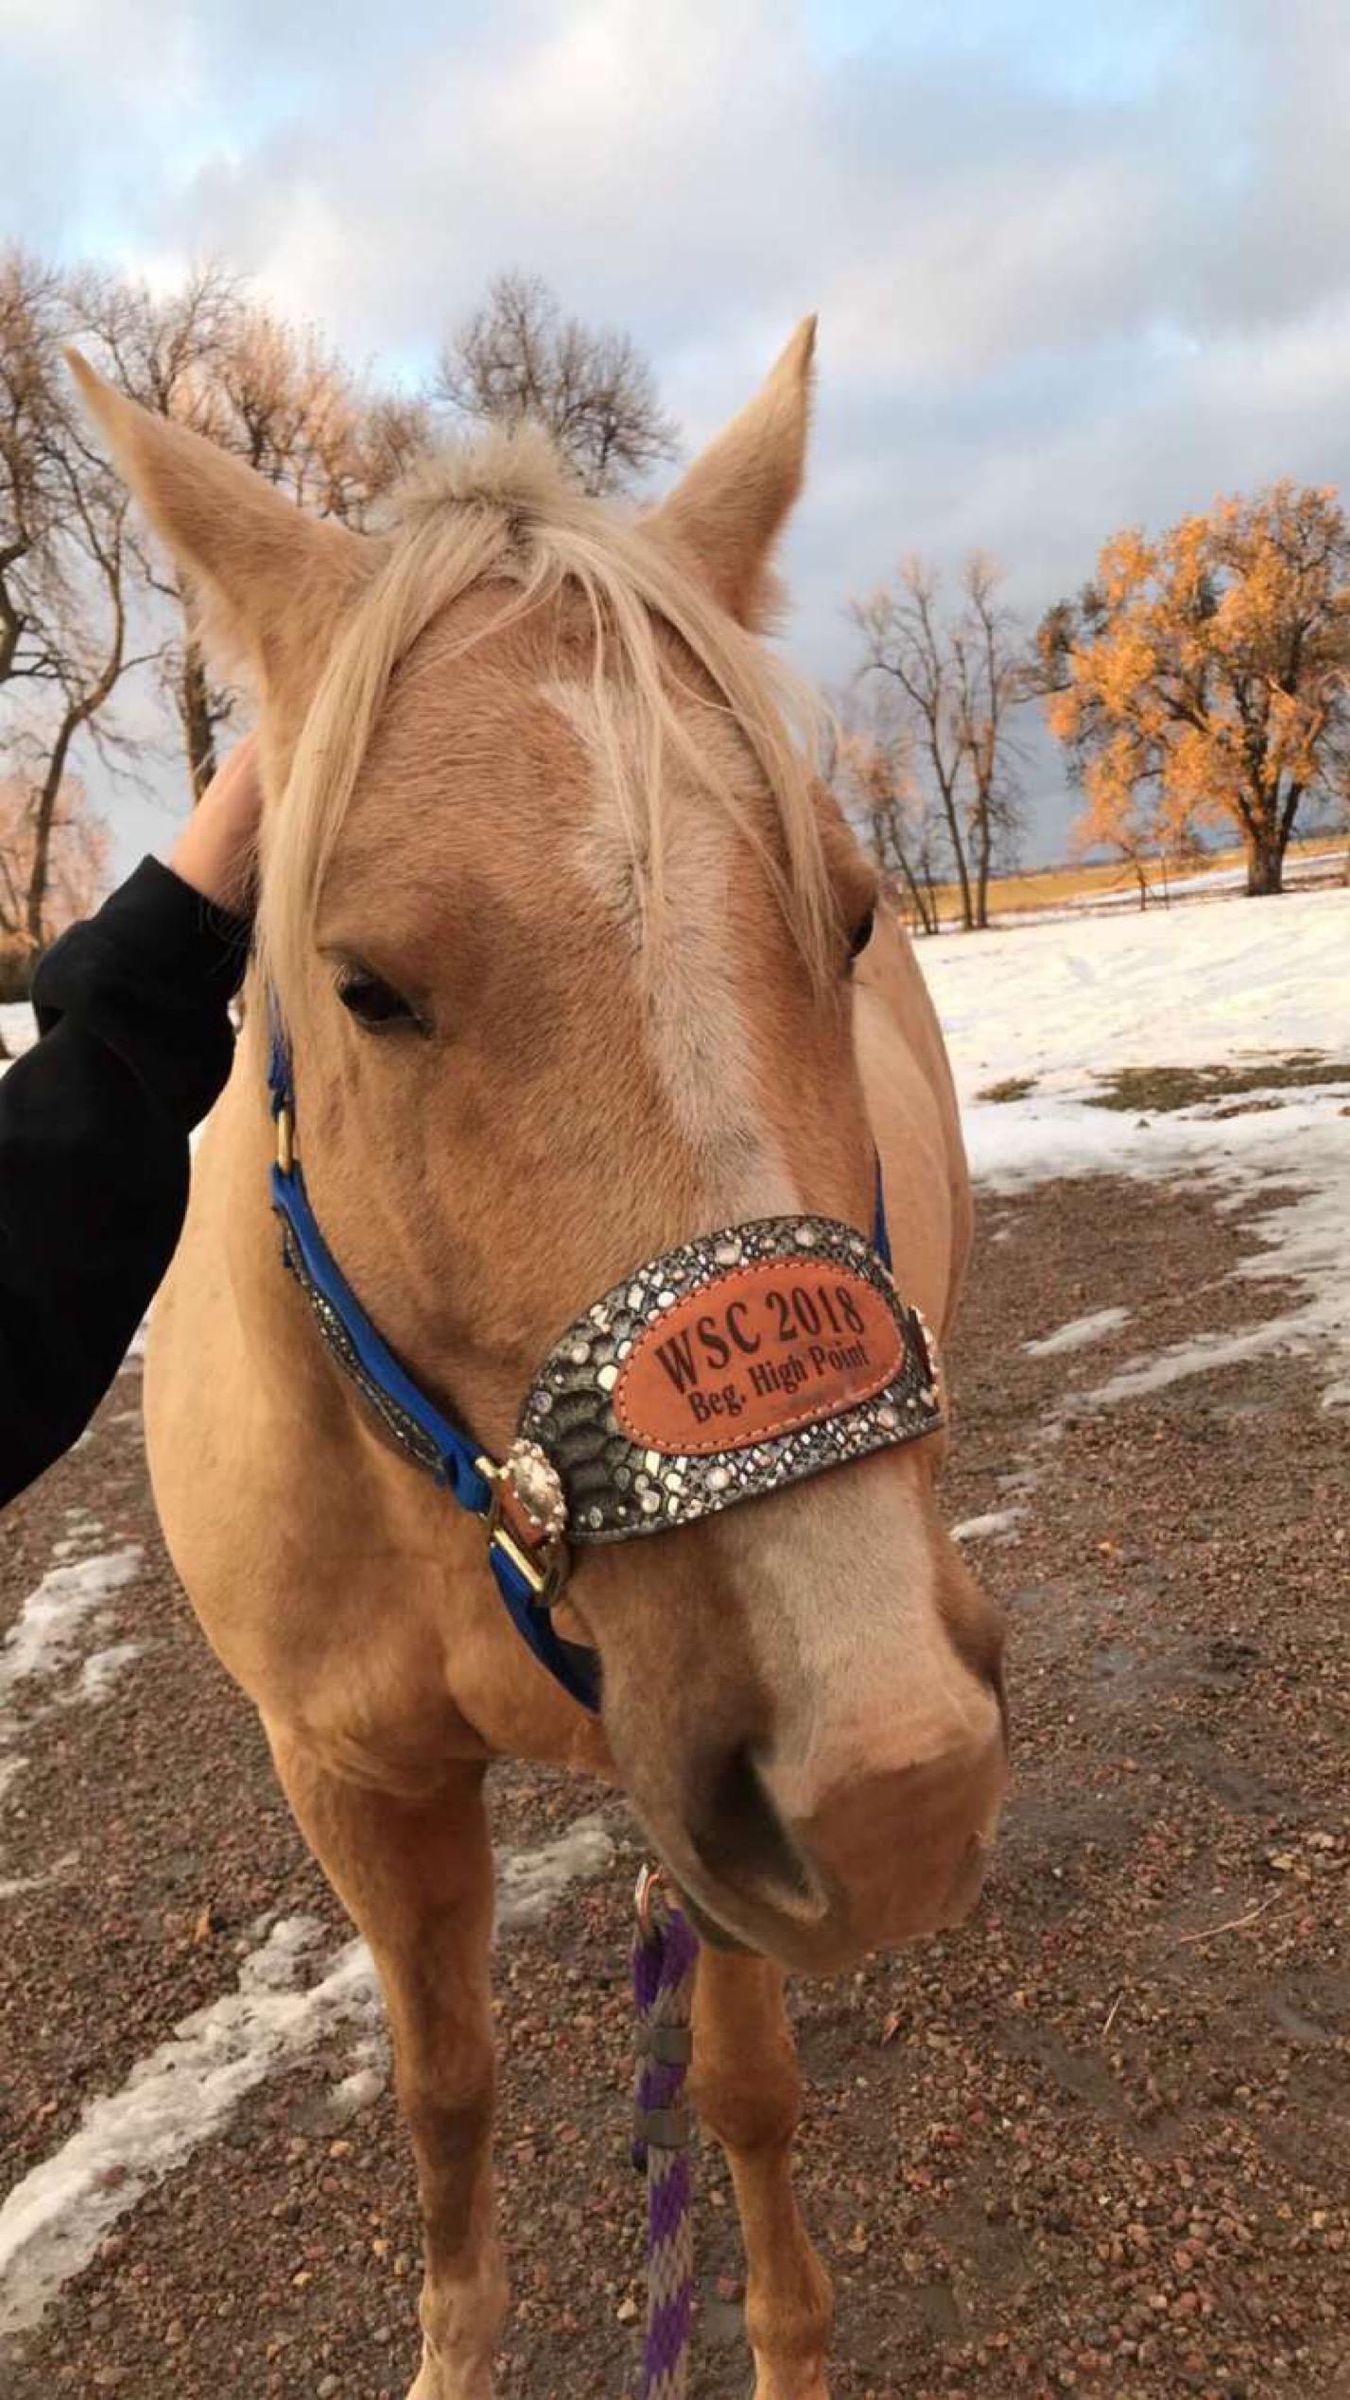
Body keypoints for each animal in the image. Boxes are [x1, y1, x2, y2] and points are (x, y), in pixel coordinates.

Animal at [71, 321, 1007, 2400]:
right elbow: (447, 2098)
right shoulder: (351, 1778)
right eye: (366, 988)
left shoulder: (697, 1791)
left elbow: (738, 2095)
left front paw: (786, 2349)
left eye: (847, 915)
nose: (894, 1778)